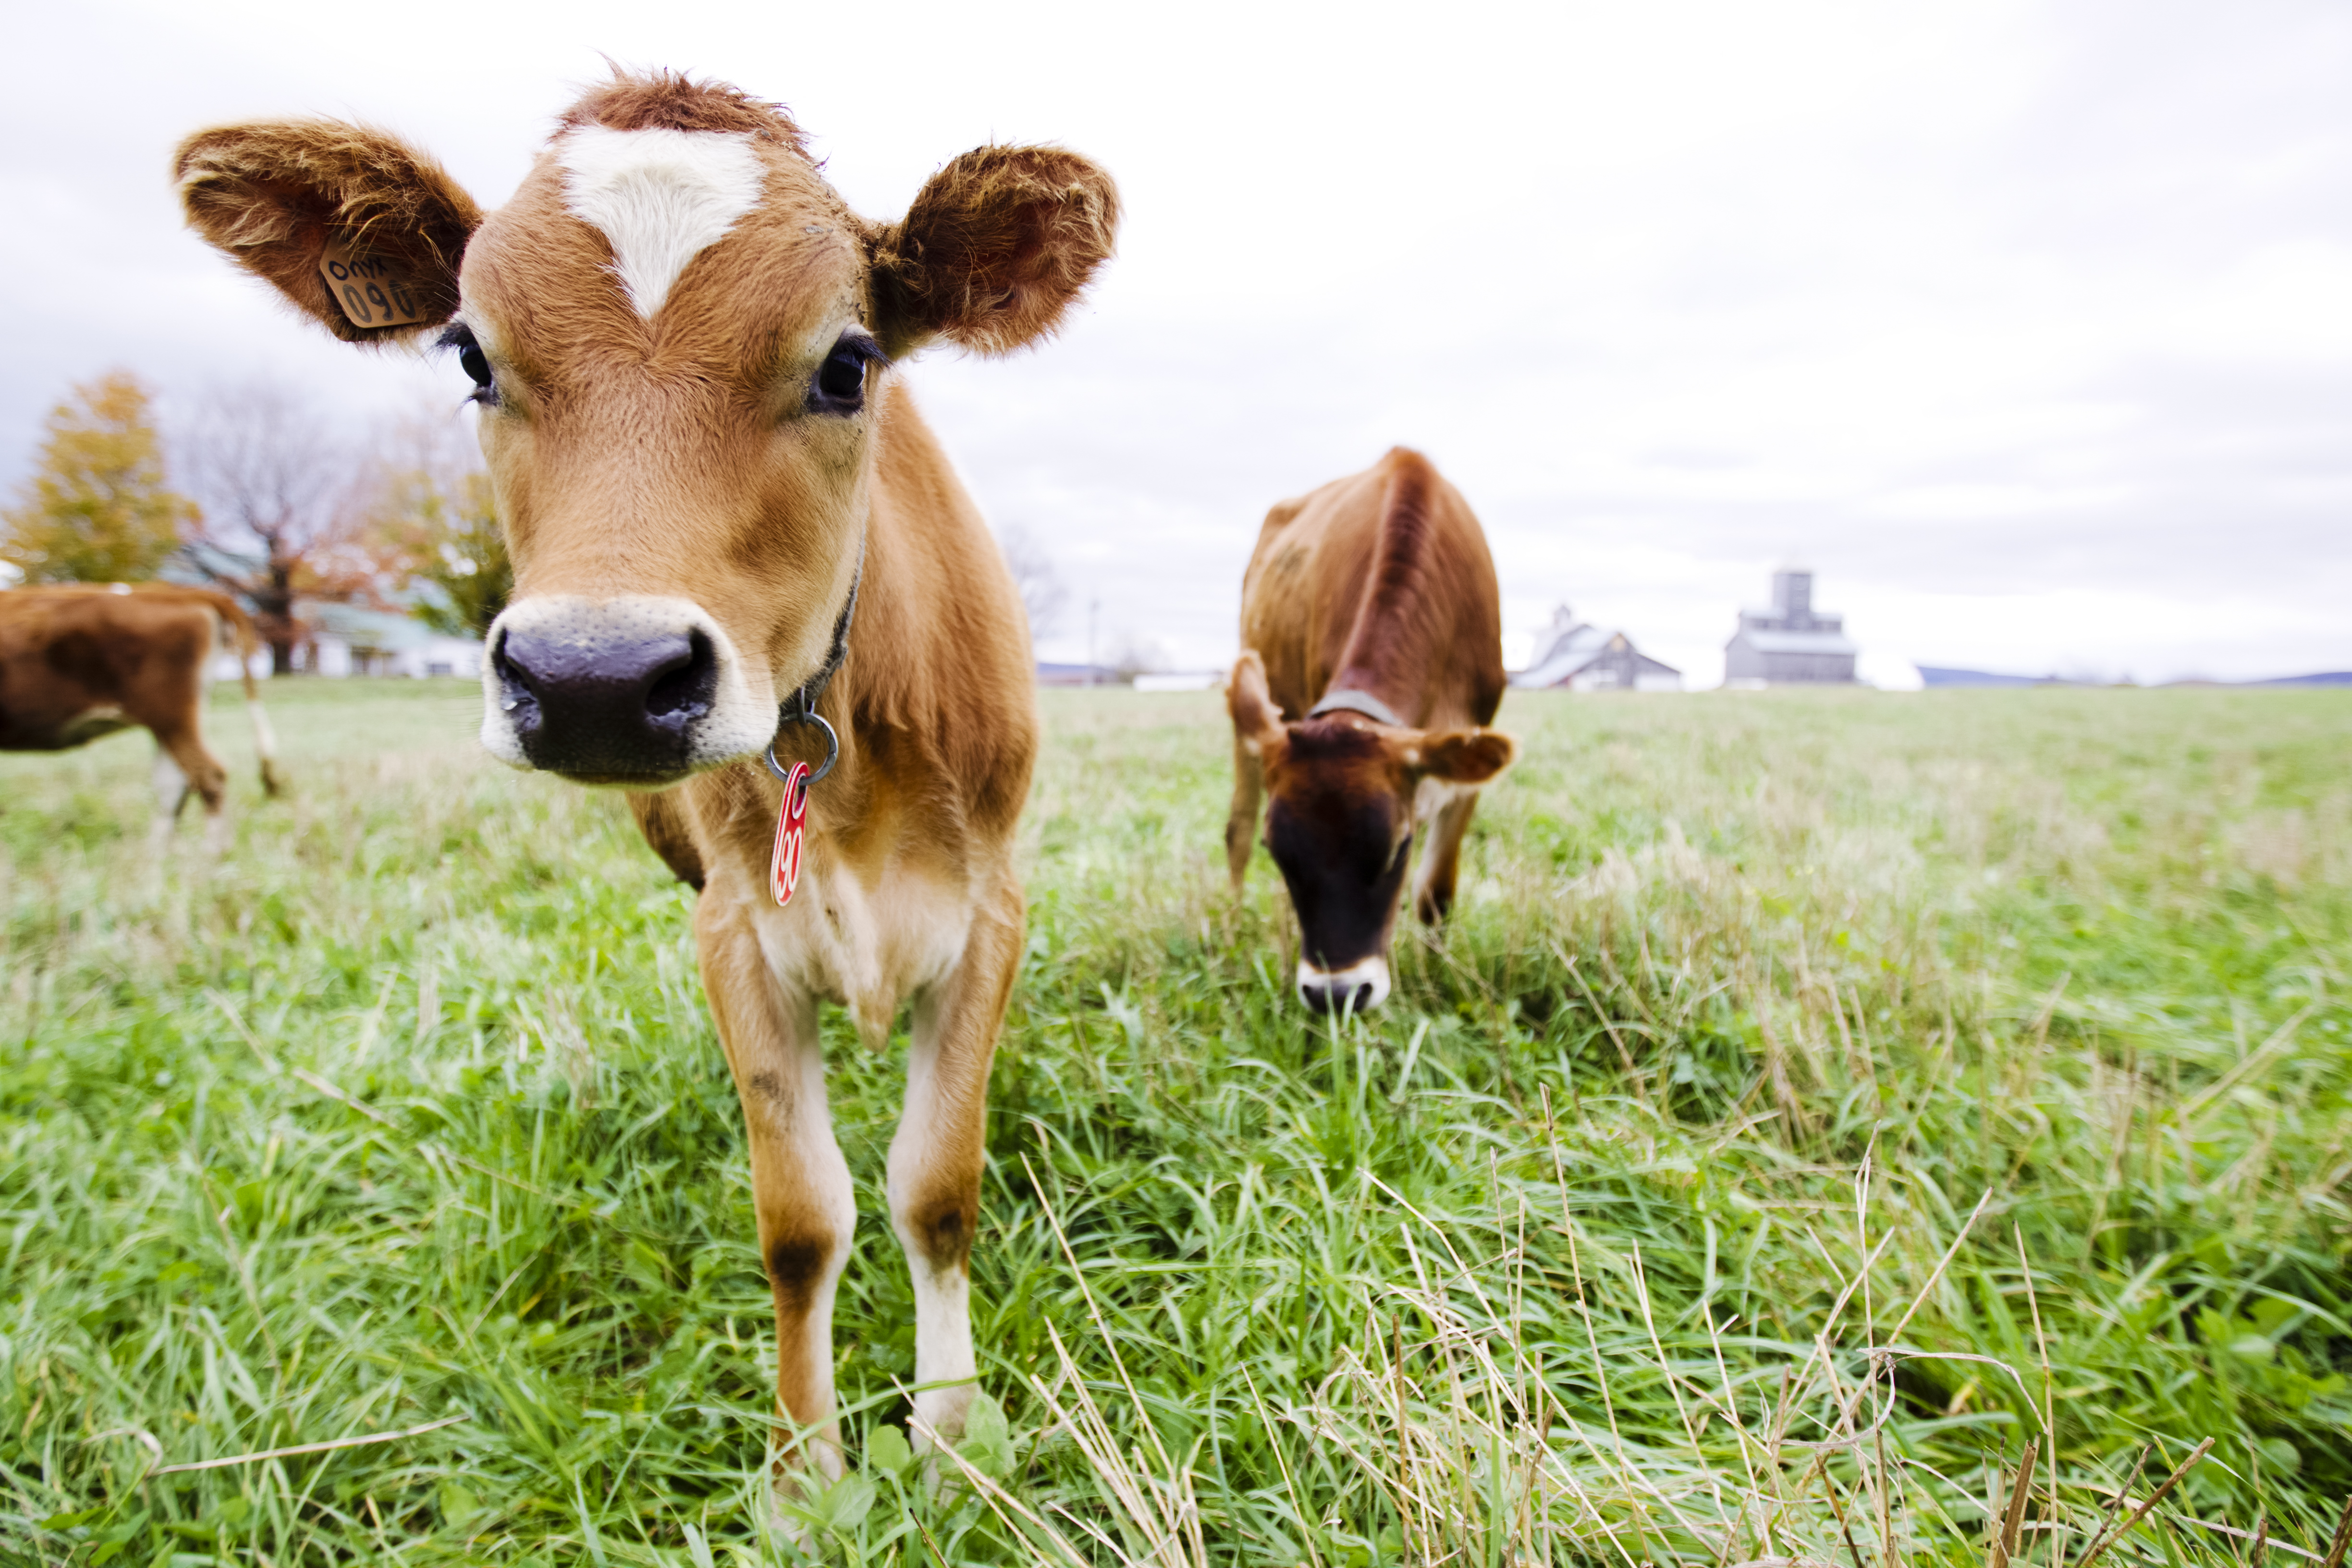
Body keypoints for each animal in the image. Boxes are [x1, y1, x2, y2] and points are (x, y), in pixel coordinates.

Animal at [174, 64, 1110, 1485]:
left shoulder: (991, 903)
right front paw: (806, 1472)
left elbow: (938, 1187)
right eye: (472, 357)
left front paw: (950, 1434)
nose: (595, 678)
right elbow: (801, 1213)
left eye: (848, 363)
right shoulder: (737, 925)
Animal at [1223, 451, 1515, 1020]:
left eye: (1399, 846)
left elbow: (1435, 894)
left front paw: (1434, 978)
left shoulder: (1469, 758)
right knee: (1236, 832)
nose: (1337, 995)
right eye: (1279, 850)